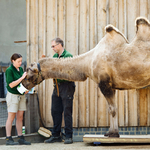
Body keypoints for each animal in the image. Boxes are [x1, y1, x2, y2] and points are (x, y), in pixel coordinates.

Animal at [21, 17, 150, 137]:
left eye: (29, 75)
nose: (23, 84)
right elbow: (111, 109)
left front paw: (114, 134)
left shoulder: (104, 83)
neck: (87, 63)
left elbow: (113, 109)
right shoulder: (111, 85)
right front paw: (110, 132)